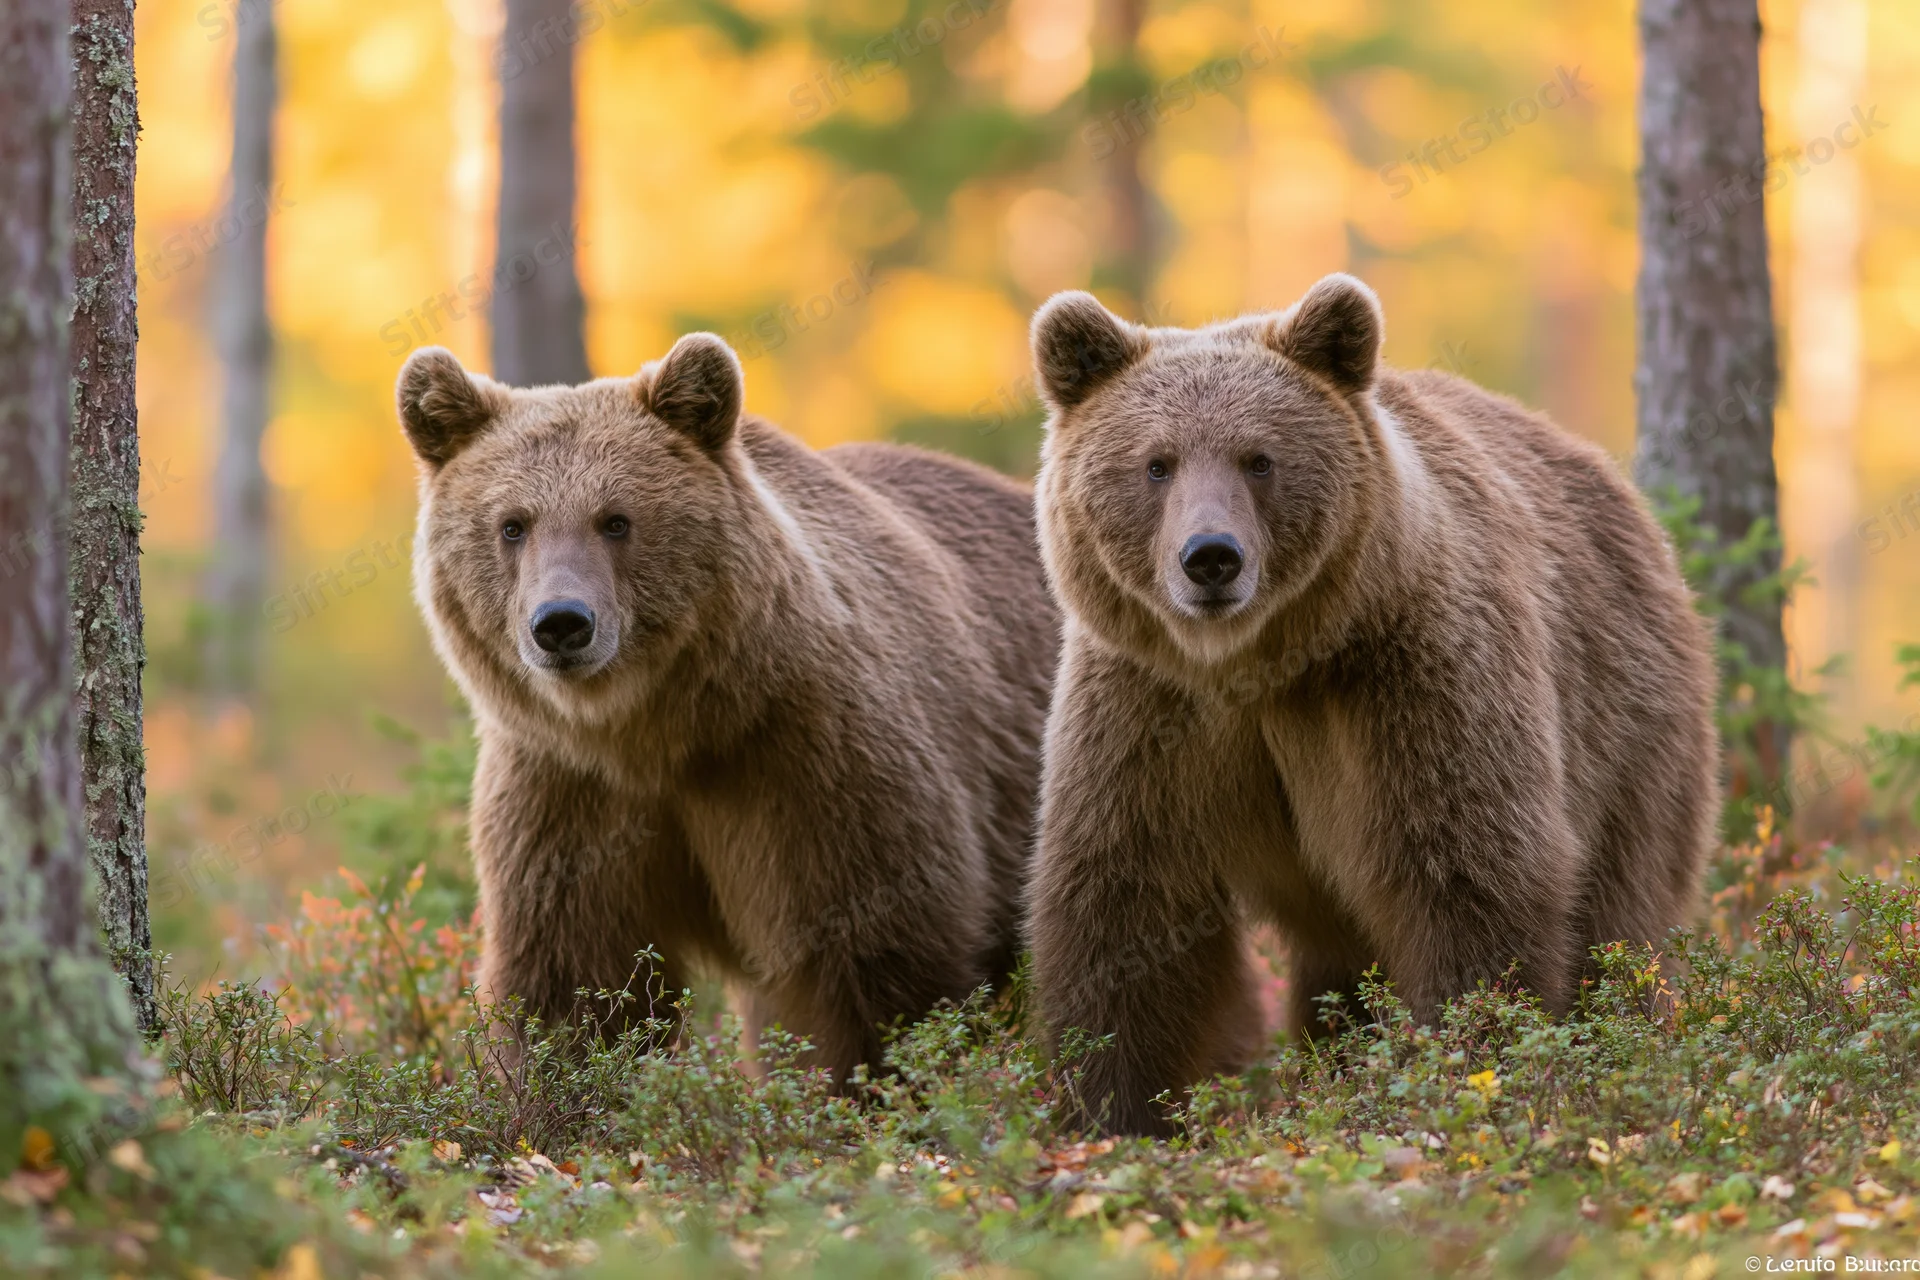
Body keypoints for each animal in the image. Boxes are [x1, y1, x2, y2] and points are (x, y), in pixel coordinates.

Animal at [393, 333, 1058, 1081]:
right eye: (513, 525)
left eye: (616, 520)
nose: (562, 623)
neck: (655, 732)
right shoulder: (566, 793)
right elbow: (573, 986)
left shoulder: (804, 761)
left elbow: (875, 964)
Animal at [1024, 273, 1718, 1135]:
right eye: (1157, 463)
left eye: (1260, 458)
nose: (1211, 557)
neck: (1258, 667)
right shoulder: (1150, 707)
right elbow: (1127, 899)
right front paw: (1111, 1109)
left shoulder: (1407, 681)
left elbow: (1467, 869)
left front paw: (1468, 1065)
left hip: (1629, 725)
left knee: (1621, 912)